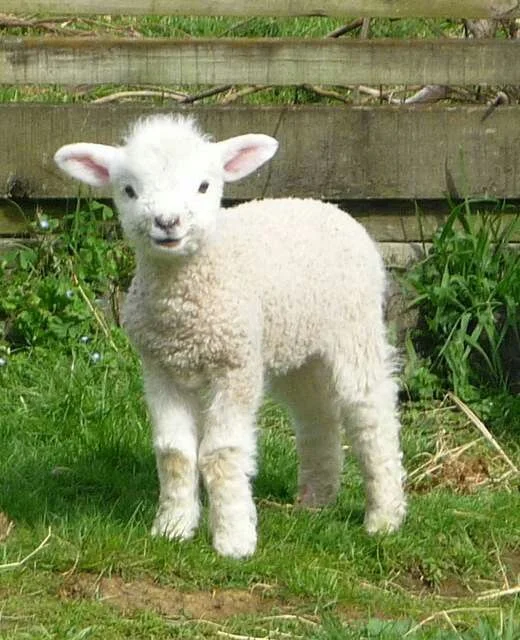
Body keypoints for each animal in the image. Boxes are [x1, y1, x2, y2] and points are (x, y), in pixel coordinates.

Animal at [54, 114, 406, 558]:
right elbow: (174, 452)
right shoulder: (160, 369)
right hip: (297, 347)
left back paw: (384, 517)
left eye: (204, 186)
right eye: (129, 190)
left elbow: (221, 453)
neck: (185, 309)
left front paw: (234, 540)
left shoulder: (234, 367)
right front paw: (172, 527)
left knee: (371, 412)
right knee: (316, 415)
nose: (167, 223)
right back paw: (315, 500)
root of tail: (324, 206)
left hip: (354, 328)